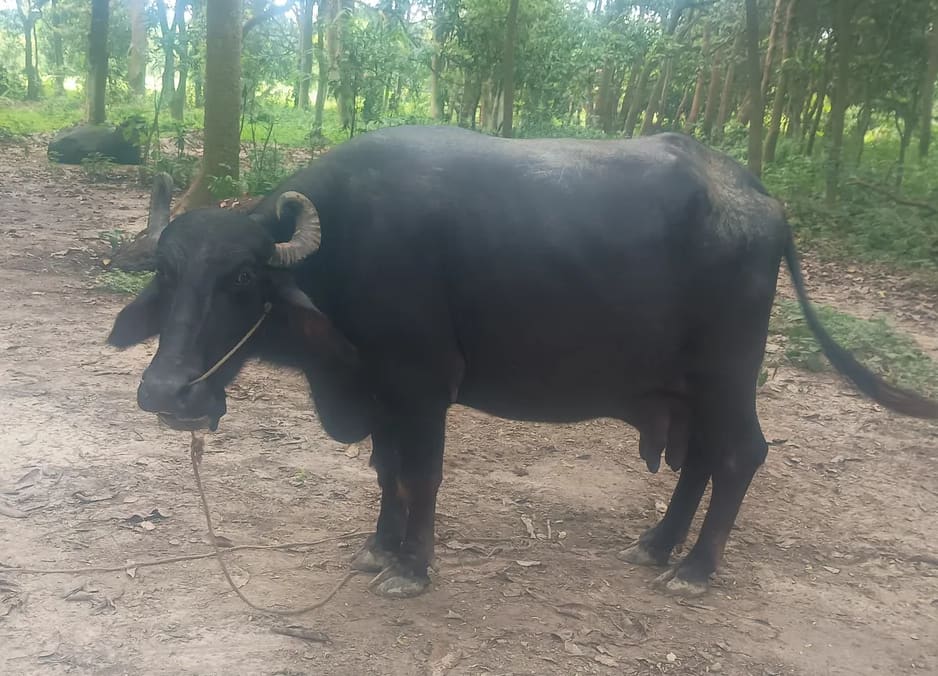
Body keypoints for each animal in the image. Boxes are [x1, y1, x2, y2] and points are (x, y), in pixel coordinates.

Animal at [107, 126, 938, 598]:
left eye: (244, 279)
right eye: (166, 275)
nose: (168, 391)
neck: (342, 248)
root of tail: (760, 199)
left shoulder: (420, 384)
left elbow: (418, 474)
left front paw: (412, 568)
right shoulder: (381, 391)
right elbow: (385, 470)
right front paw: (379, 548)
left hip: (729, 373)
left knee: (740, 454)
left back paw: (696, 571)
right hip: (689, 384)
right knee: (702, 456)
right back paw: (656, 546)